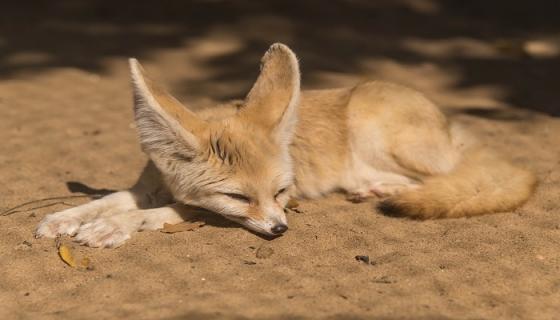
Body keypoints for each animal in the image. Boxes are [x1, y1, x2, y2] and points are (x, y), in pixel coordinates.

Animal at [34, 43, 532, 248]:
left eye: (281, 192)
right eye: (239, 196)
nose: (280, 229)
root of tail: (452, 128)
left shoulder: (195, 207)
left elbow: (159, 213)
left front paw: (111, 227)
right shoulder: (148, 185)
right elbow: (109, 198)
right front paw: (67, 218)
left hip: (371, 123)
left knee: (452, 178)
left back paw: (388, 191)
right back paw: (368, 188)